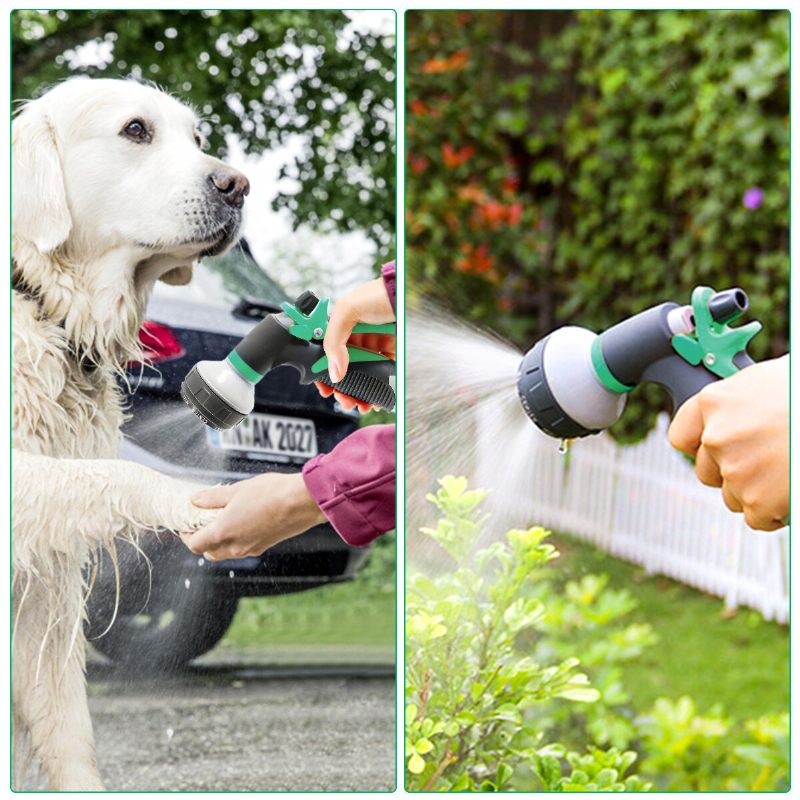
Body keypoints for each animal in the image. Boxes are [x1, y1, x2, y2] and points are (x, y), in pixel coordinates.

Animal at [12, 78, 248, 792]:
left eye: (197, 137)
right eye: (135, 130)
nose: (237, 185)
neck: (42, 303)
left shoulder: (42, 588)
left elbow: (68, 731)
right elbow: (122, 471)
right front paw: (194, 505)